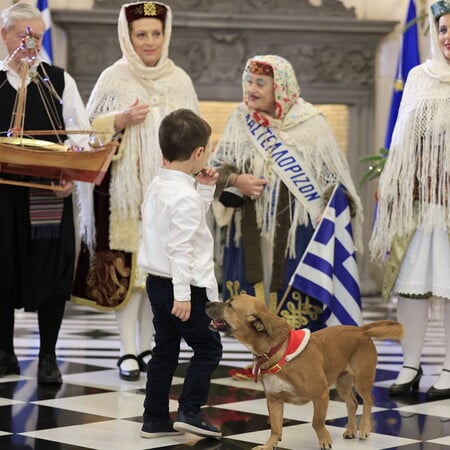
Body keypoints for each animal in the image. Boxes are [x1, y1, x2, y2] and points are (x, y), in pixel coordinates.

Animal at [206, 294, 402, 450]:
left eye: (230, 304)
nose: (206, 303)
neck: (278, 350)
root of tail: (361, 331)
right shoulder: (274, 400)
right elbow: (275, 428)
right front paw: (269, 445)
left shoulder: (321, 395)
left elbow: (317, 422)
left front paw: (325, 440)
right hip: (342, 384)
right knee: (352, 404)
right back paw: (351, 429)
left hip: (362, 380)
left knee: (368, 401)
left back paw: (364, 428)